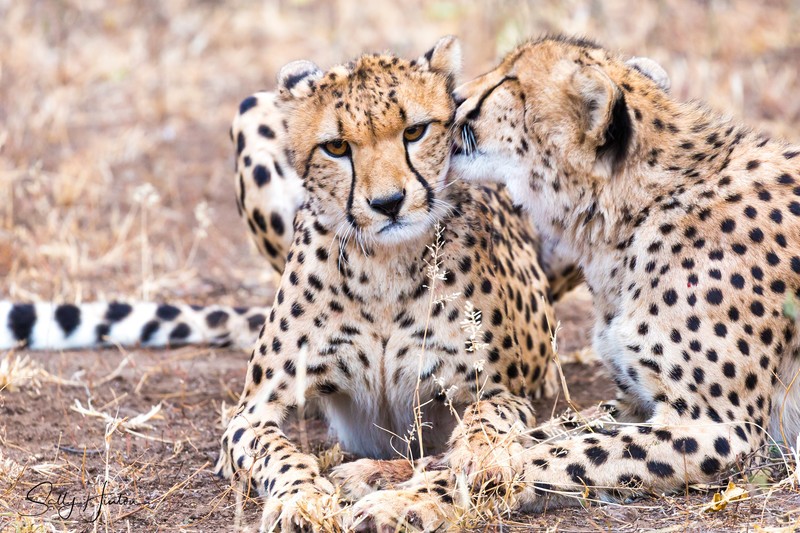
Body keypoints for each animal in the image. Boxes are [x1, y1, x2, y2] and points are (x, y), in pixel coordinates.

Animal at [214, 36, 589, 531]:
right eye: (336, 147)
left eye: (414, 132)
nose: (388, 203)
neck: (383, 266)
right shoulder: (252, 413)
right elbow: (277, 452)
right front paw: (303, 500)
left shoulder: (498, 392)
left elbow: (484, 420)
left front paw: (476, 457)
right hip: (251, 108)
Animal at [445, 34, 800, 513]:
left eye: (508, 81)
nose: (452, 98)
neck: (638, 211)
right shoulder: (632, 402)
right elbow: (556, 431)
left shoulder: (720, 427)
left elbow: (561, 453)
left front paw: (472, 479)